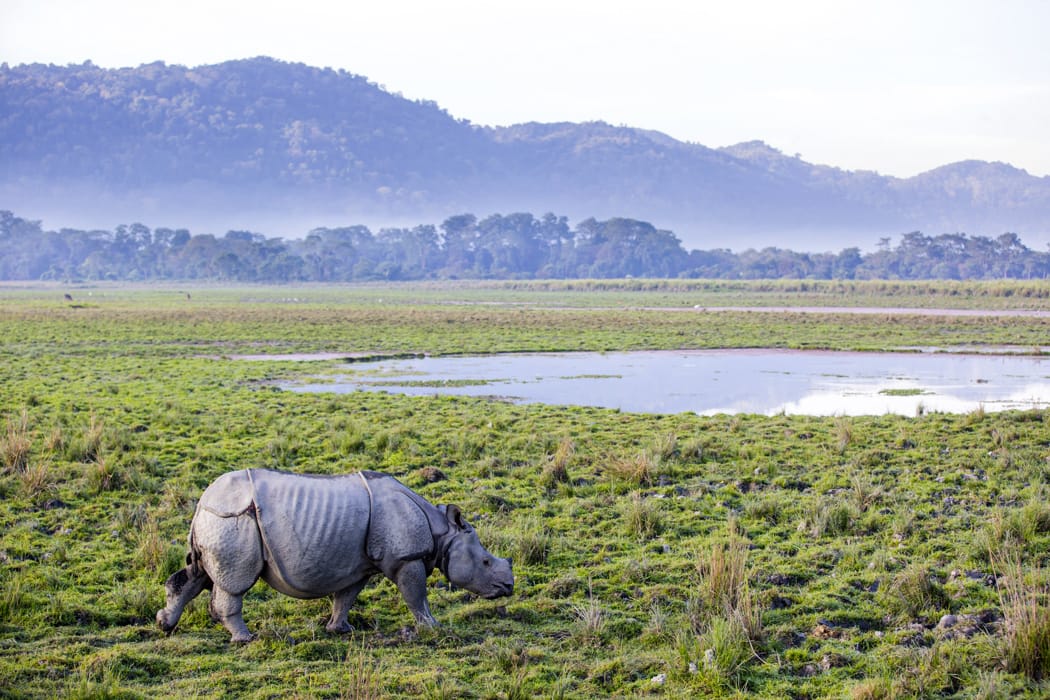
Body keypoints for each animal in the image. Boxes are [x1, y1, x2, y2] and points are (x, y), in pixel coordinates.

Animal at [156, 469, 514, 642]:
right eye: (485, 562)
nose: (508, 587)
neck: (442, 532)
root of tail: (202, 502)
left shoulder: (359, 566)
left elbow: (346, 597)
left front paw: (340, 630)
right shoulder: (406, 558)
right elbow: (416, 596)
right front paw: (432, 627)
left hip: (218, 520)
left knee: (198, 575)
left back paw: (165, 624)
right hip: (234, 519)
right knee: (234, 583)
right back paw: (245, 639)